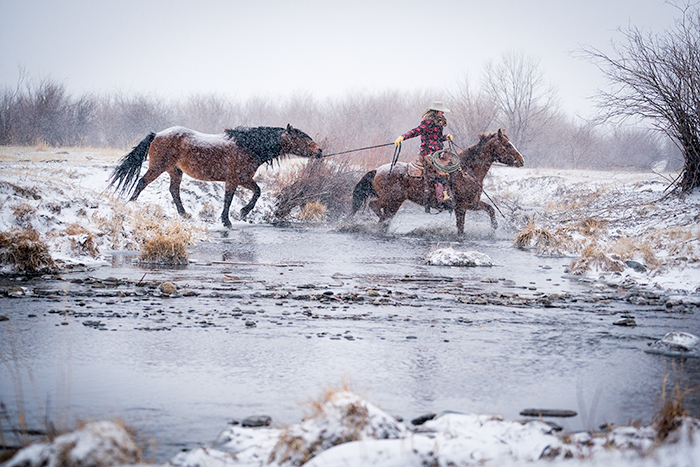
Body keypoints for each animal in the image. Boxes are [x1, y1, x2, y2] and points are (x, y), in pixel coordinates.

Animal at [108, 124, 322, 227]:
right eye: (303, 139)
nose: (319, 151)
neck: (248, 145)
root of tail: (158, 134)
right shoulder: (234, 179)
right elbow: (229, 199)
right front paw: (228, 220)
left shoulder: (244, 179)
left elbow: (257, 191)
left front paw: (243, 212)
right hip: (158, 167)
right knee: (142, 182)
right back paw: (131, 204)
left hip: (175, 171)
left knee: (173, 191)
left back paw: (184, 214)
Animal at [352, 128, 524, 236]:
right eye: (507, 145)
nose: (521, 160)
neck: (468, 171)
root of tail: (377, 170)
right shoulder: (461, 206)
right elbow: (461, 228)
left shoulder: (472, 203)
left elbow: (490, 209)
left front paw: (494, 227)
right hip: (393, 199)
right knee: (374, 206)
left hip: (394, 202)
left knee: (383, 215)